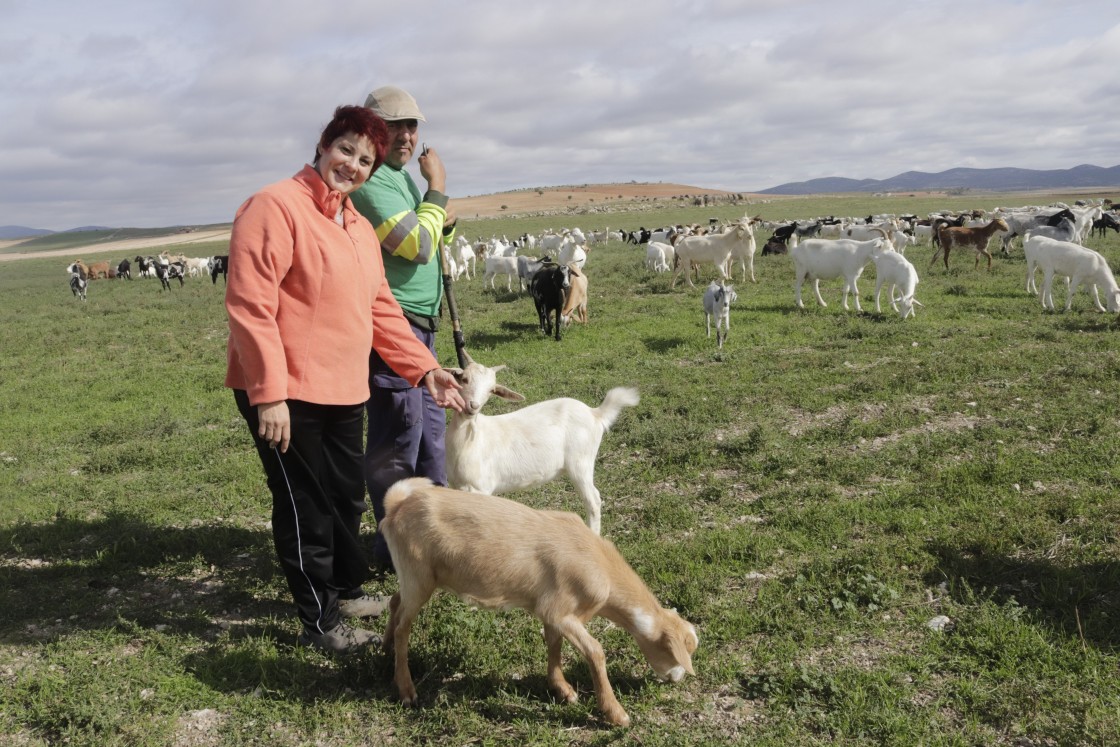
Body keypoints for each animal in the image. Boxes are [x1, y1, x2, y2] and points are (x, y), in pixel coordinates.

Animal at [380, 477, 694, 725]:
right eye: (675, 654)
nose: (678, 679)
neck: (601, 565)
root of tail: (396, 507)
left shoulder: (552, 610)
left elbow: (554, 644)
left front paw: (561, 689)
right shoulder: (561, 612)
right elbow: (595, 651)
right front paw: (615, 713)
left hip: (413, 578)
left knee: (395, 603)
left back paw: (385, 651)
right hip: (418, 575)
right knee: (404, 627)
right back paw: (406, 689)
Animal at [443, 353, 640, 535]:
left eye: (491, 390)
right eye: (464, 379)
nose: (473, 406)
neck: (470, 442)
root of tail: (595, 413)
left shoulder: (481, 489)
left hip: (581, 462)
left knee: (593, 500)